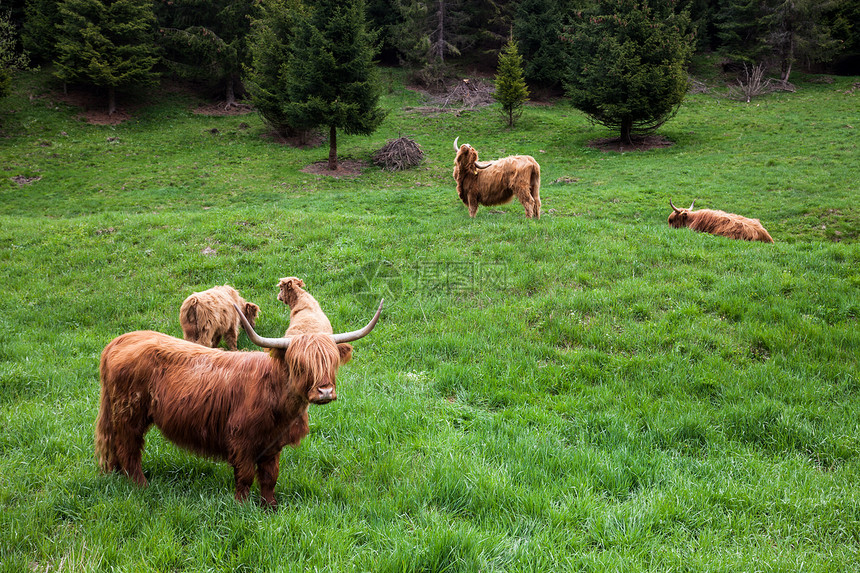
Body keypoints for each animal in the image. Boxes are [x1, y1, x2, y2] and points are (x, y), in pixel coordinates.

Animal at [93, 294, 382, 504]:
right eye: (300, 364)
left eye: (331, 362)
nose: (324, 392)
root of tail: (120, 340)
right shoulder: (241, 441)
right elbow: (244, 477)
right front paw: (241, 506)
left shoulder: (272, 445)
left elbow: (269, 478)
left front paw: (270, 508)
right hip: (130, 414)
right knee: (129, 449)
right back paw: (142, 486)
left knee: (117, 446)